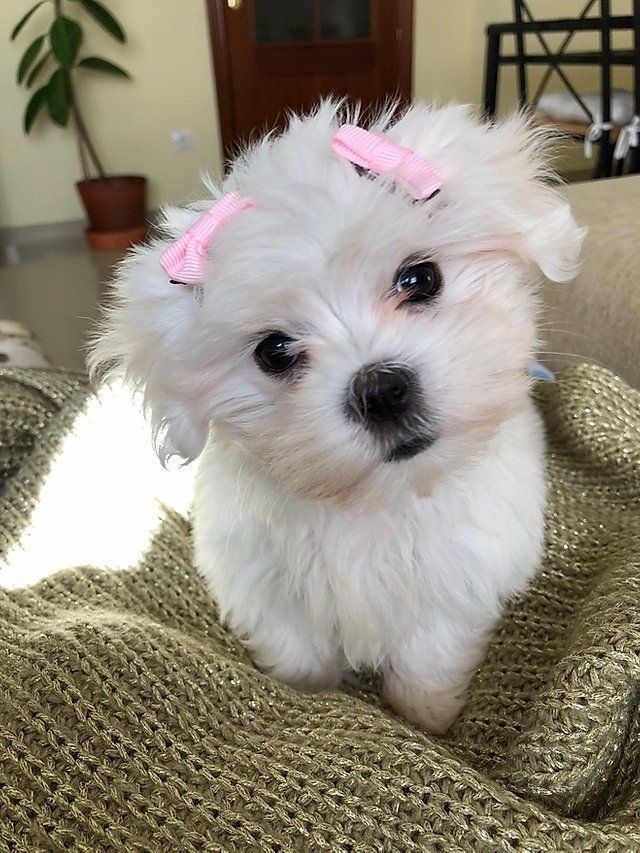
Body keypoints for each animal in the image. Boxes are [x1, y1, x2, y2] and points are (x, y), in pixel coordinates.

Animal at [90, 105, 584, 732]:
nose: (381, 391)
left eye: (420, 279)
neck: (373, 501)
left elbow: (429, 655)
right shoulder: (265, 586)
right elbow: (296, 651)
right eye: (275, 351)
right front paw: (310, 695)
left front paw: (425, 718)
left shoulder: (458, 581)